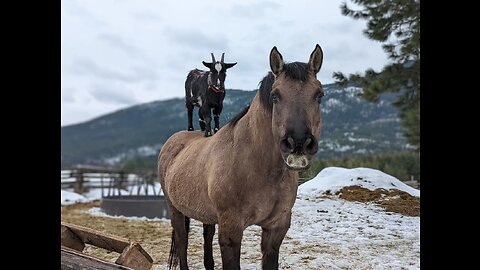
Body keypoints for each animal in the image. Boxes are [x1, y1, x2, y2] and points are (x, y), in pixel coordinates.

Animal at [159, 43, 324, 268]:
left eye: (319, 94)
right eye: (275, 95)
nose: (298, 144)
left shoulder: (276, 229)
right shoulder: (231, 232)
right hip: (175, 210)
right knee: (182, 244)